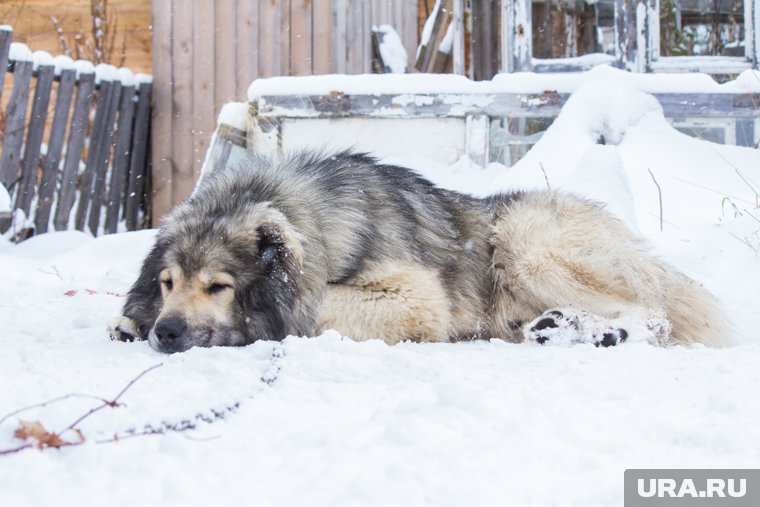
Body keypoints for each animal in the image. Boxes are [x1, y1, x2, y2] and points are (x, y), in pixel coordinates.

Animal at [110, 149, 732, 352]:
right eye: (167, 283)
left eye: (218, 286)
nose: (166, 331)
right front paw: (128, 321)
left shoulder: (415, 298)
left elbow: (308, 308)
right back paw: (559, 328)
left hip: (523, 241)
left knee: (652, 315)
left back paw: (602, 333)